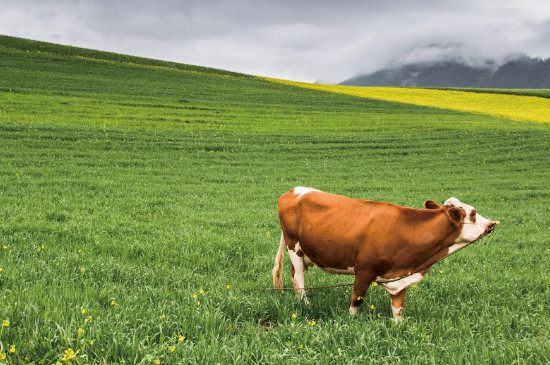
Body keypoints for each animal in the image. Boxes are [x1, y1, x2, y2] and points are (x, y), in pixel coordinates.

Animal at [272, 186, 500, 322]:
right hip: (294, 247)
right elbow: (356, 300)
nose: (491, 224)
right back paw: (305, 304)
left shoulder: (401, 278)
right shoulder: (364, 270)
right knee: (298, 278)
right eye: (473, 213)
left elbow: (398, 310)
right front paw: (350, 322)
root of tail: (294, 190)